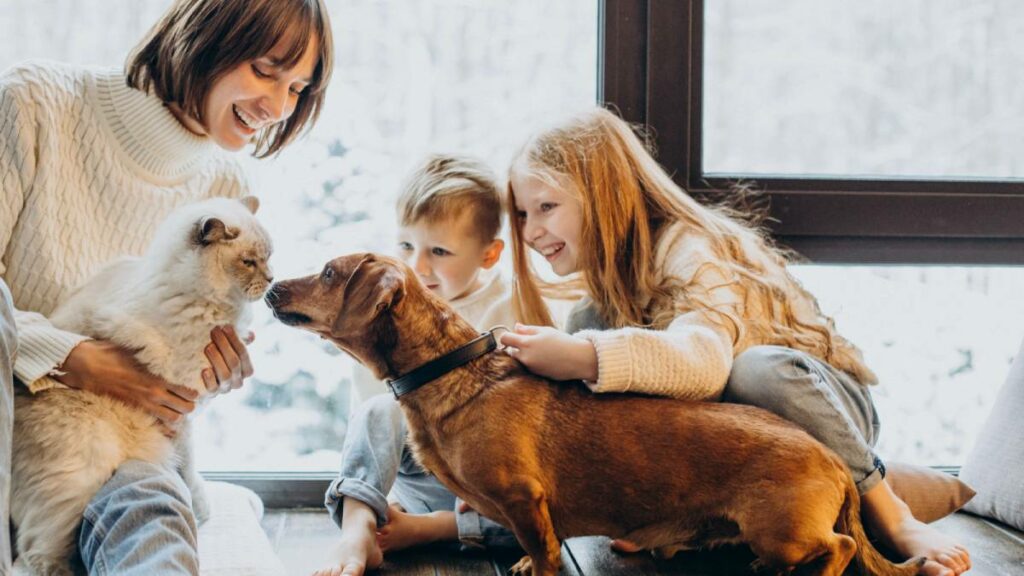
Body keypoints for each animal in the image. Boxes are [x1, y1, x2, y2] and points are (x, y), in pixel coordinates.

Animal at [9, 194, 274, 569]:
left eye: (269, 258)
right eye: (249, 262)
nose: (272, 279)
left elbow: (190, 467)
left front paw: (200, 506)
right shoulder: (182, 406)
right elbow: (189, 465)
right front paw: (200, 507)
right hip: (85, 473)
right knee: (35, 555)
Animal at [268, 252, 925, 573]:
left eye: (328, 272)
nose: (271, 285)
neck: (452, 370)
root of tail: (836, 462)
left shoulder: (524, 500)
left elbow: (544, 550)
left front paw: (536, 568)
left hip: (782, 530)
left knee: (839, 548)